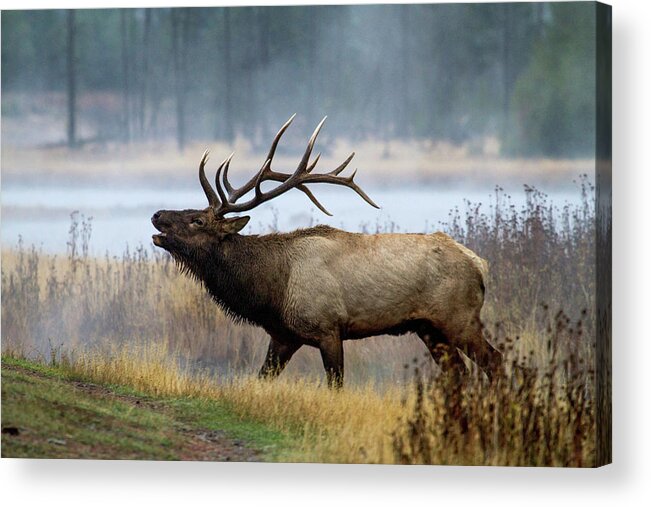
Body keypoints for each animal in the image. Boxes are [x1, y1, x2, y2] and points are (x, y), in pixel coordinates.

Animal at [153, 115, 504, 388]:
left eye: (198, 220)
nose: (157, 215)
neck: (273, 291)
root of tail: (480, 264)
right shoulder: (283, 336)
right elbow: (262, 377)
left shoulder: (328, 328)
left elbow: (336, 384)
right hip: (428, 328)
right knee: (458, 373)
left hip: (459, 318)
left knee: (495, 360)